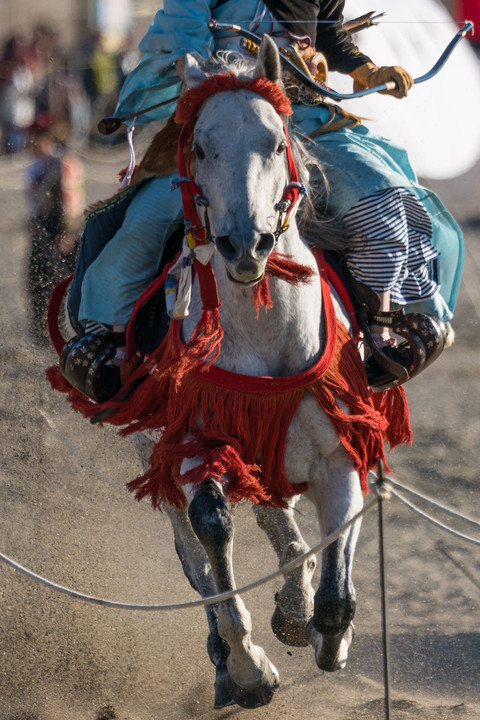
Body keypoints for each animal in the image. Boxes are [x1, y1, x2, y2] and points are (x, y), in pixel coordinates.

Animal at [131, 35, 368, 708]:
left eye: (274, 140)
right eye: (201, 147)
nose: (246, 245)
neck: (265, 333)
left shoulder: (338, 451)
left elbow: (336, 572)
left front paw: (326, 632)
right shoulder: (192, 449)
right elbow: (212, 533)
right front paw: (247, 667)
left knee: (282, 524)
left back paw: (296, 605)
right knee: (195, 557)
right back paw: (227, 655)